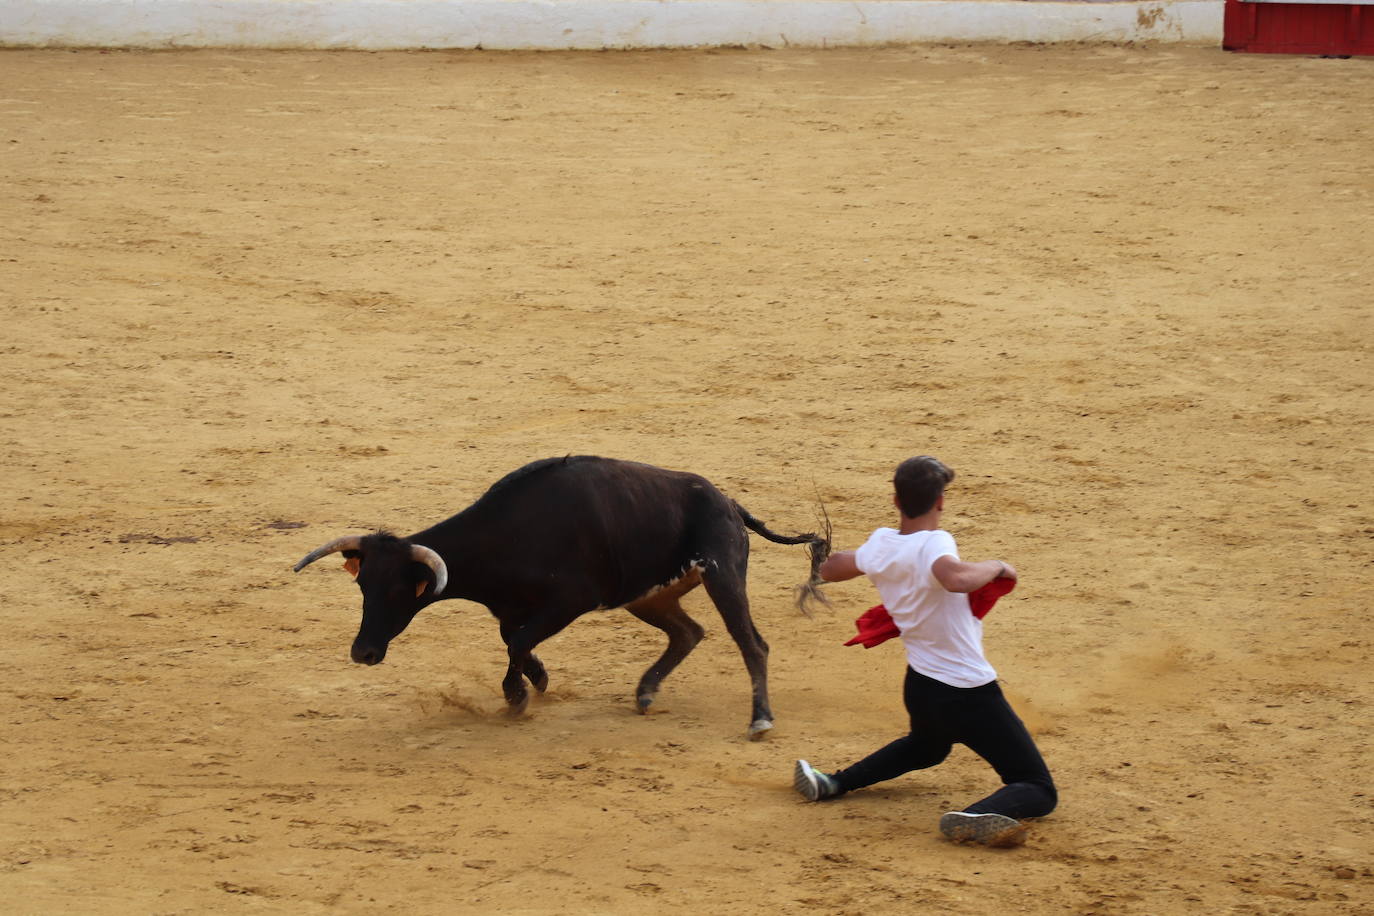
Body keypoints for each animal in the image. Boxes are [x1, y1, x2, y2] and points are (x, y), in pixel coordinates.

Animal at [295, 455, 829, 741]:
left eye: (396, 589)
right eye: (362, 586)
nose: (362, 652)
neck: (505, 535)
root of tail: (729, 502)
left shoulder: (571, 600)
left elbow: (516, 644)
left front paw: (517, 697)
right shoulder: (512, 610)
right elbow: (514, 641)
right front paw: (536, 681)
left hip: (723, 578)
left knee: (751, 643)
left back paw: (760, 720)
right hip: (647, 596)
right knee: (688, 633)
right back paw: (646, 692)